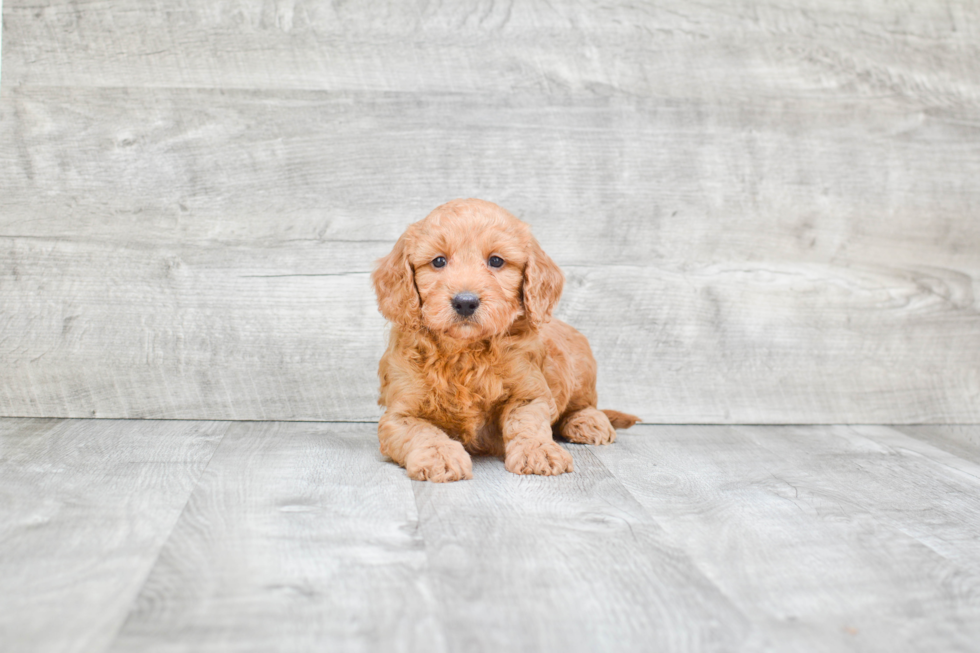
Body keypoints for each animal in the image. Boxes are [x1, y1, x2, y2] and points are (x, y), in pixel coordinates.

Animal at [372, 196, 640, 482]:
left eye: (496, 261)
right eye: (439, 261)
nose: (465, 302)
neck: (465, 351)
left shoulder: (529, 392)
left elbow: (527, 422)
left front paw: (538, 450)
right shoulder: (398, 413)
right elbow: (420, 430)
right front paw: (440, 455)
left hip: (581, 369)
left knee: (584, 404)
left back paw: (589, 422)